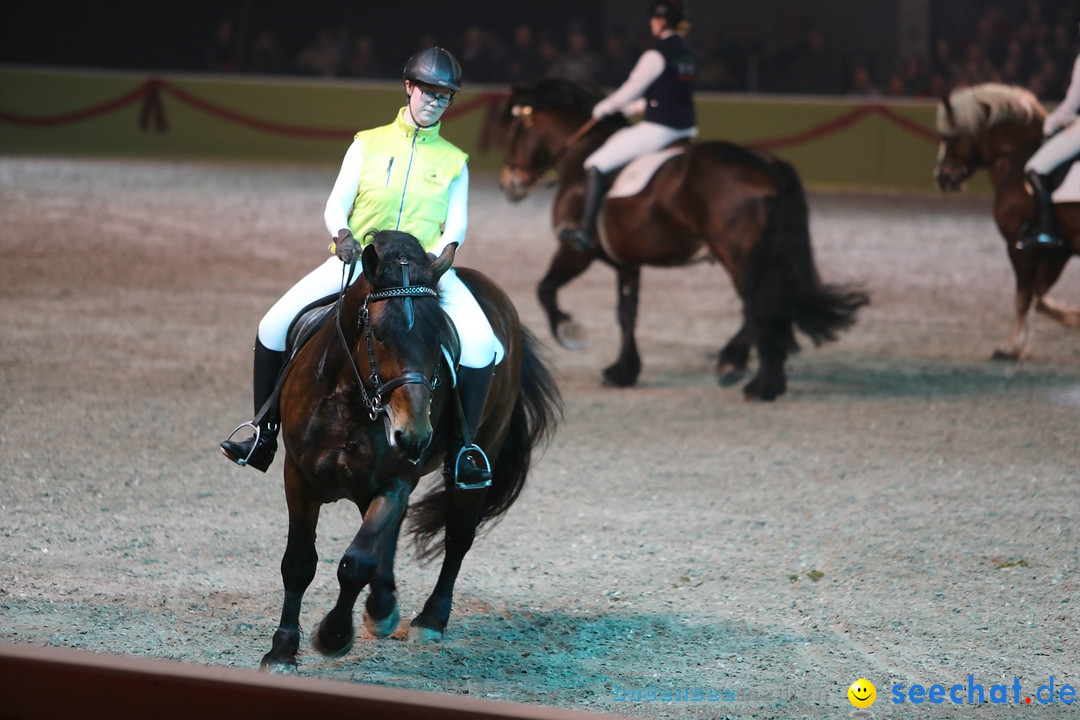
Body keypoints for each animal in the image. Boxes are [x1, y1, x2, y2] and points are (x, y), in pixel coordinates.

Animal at [260, 229, 561, 669]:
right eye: (379, 335)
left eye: (439, 339)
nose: (412, 435)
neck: (352, 403)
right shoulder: (298, 475)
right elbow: (299, 562)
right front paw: (282, 649)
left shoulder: (396, 479)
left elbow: (357, 561)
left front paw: (334, 635)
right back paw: (383, 607)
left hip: (476, 457)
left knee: (457, 538)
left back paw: (429, 618)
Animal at [498, 80, 868, 405]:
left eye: (517, 127)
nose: (510, 184)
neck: (581, 157)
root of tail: (769, 168)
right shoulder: (628, 262)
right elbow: (626, 313)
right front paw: (623, 371)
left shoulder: (575, 251)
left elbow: (545, 290)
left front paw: (570, 332)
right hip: (754, 258)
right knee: (763, 305)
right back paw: (744, 369)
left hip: (738, 257)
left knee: (759, 306)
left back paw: (757, 382)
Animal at [933, 82, 1075, 360]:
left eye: (949, 137)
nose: (941, 177)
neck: (1017, 159)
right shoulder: (1057, 251)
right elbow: (1039, 296)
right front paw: (1074, 317)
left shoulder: (1019, 246)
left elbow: (1024, 296)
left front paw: (1011, 346)